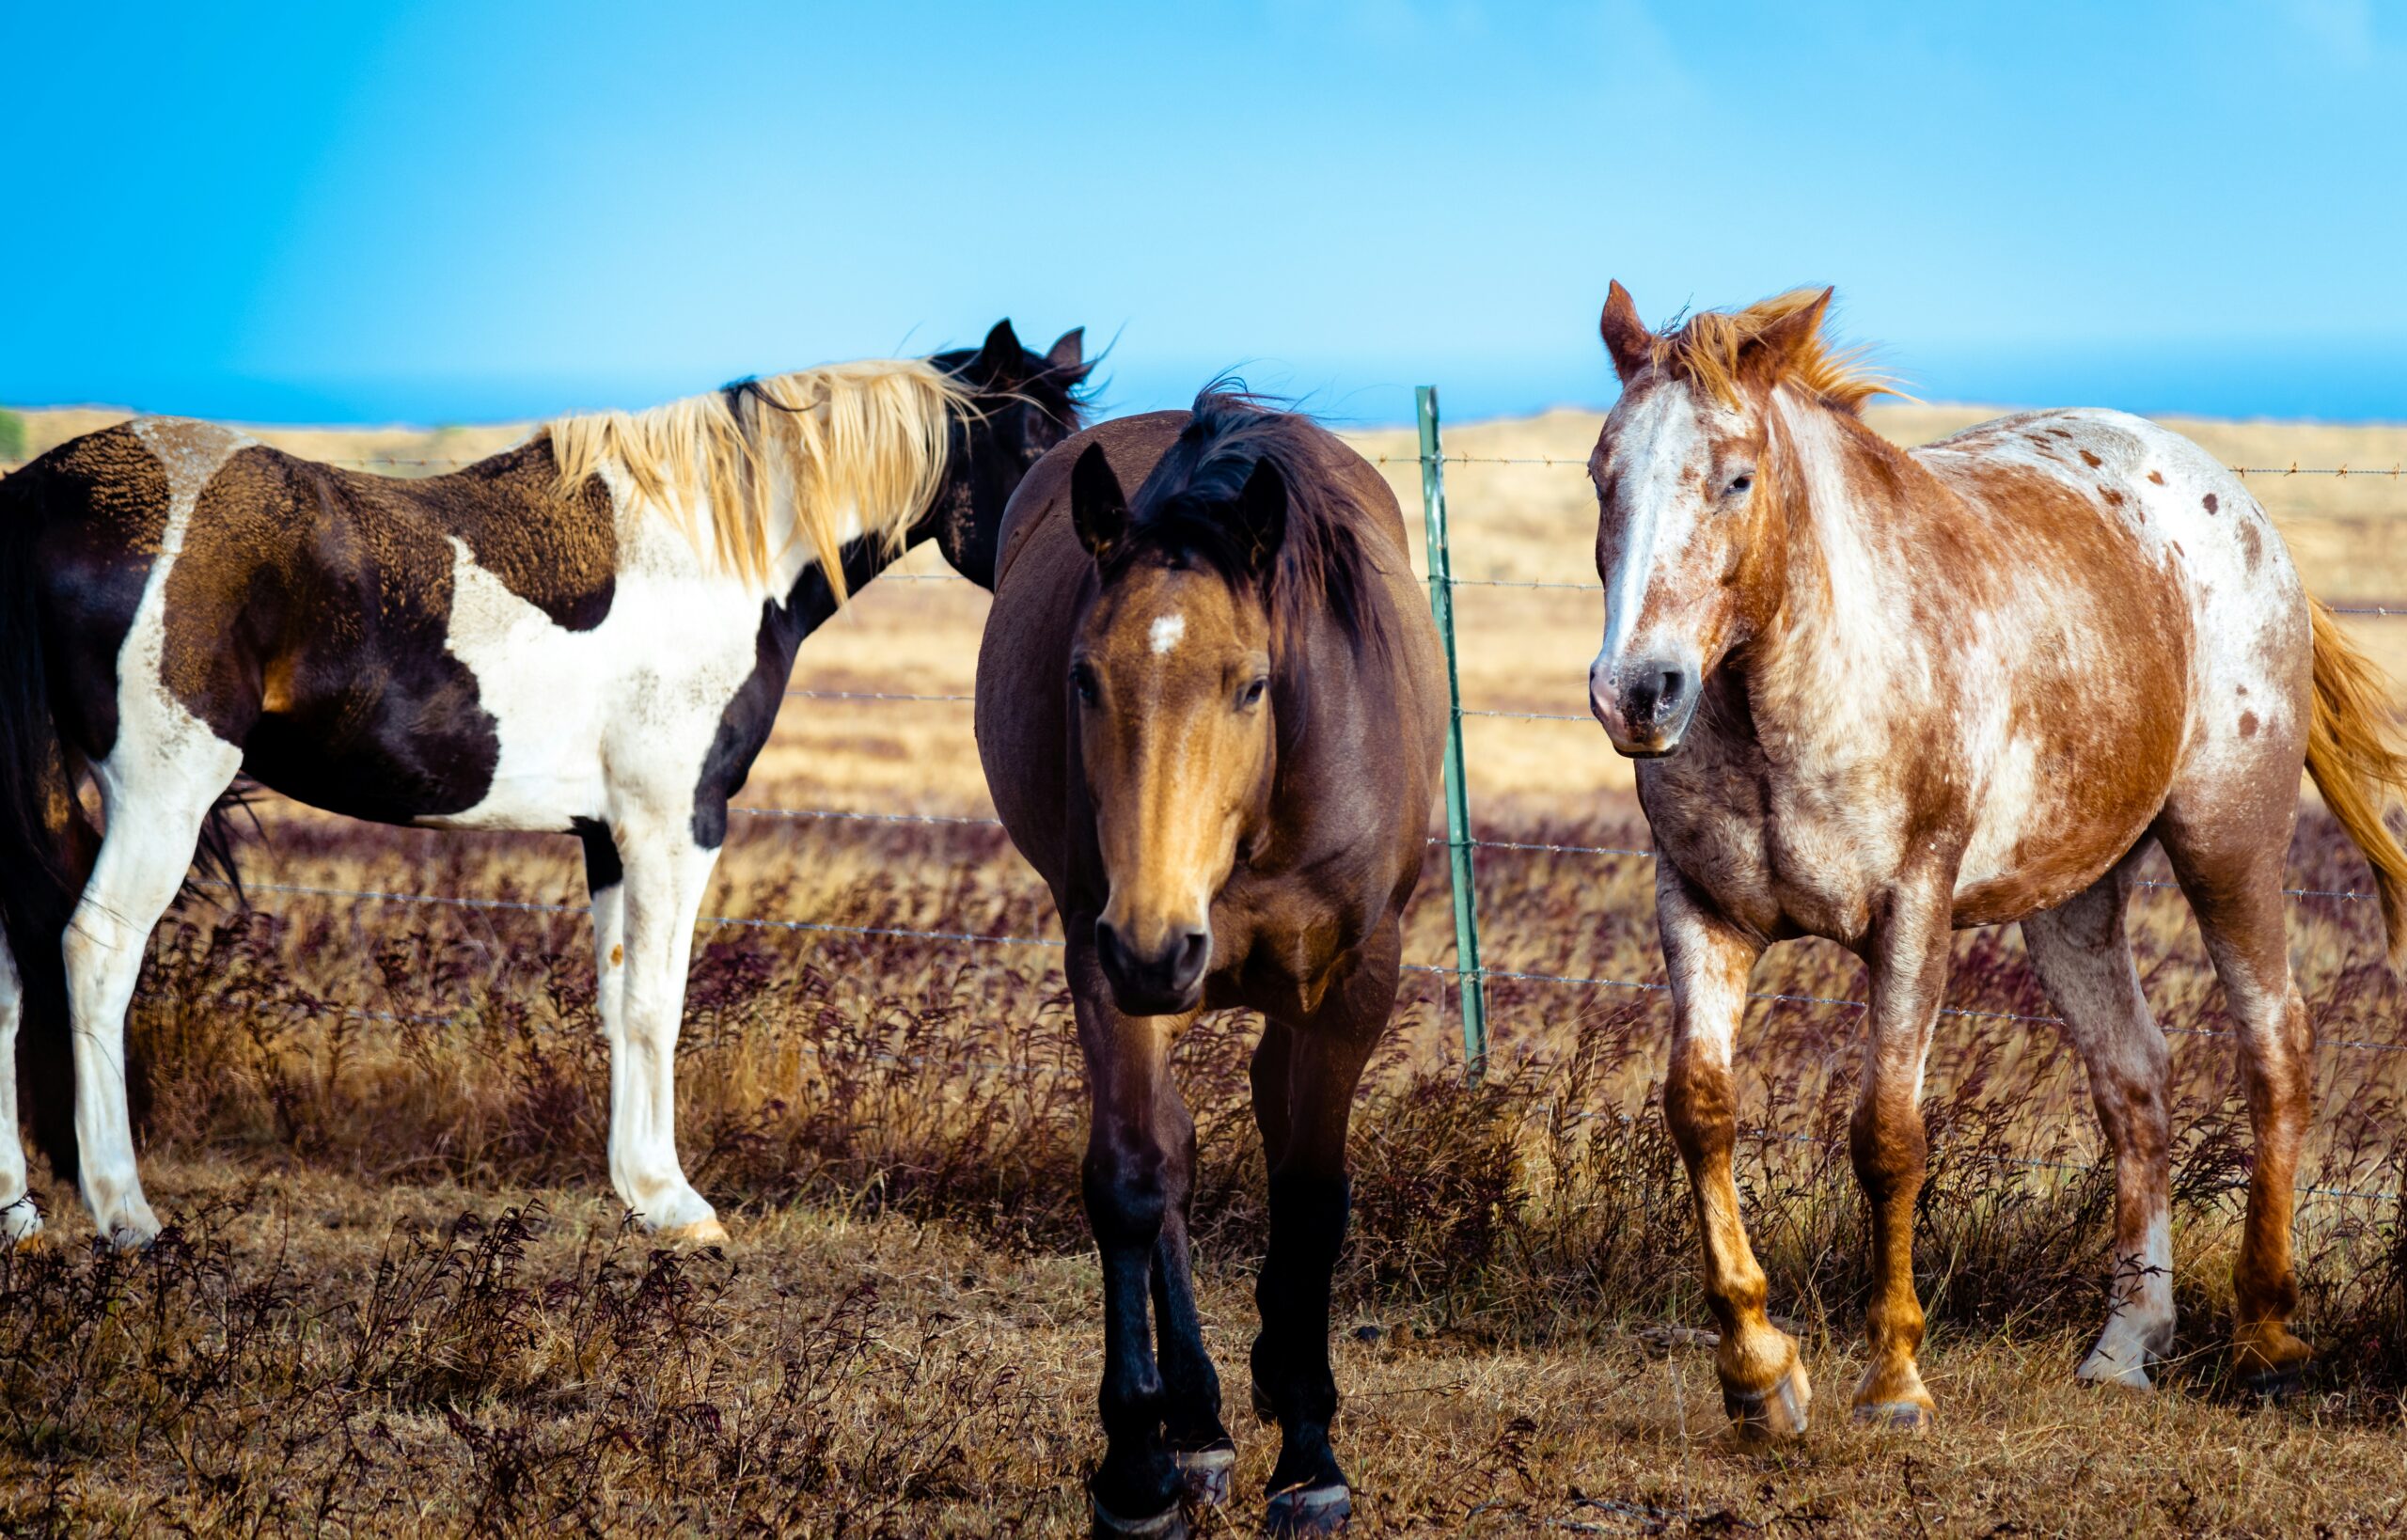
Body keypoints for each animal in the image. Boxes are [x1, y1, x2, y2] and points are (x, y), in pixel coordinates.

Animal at [0, 322, 1093, 1250]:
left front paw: (641, 1192)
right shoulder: (674, 824)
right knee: (94, 954)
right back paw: (126, 1213)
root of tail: (39, 495)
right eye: (1037, 439)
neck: (713, 550)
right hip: (162, 795)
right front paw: (680, 1207)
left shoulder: (607, 834)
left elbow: (617, 1000)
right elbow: (658, 1003)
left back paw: (19, 1215)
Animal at [977, 394, 1444, 1530]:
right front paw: (1137, 1468)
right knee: (1176, 1159)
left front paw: (1311, 1458)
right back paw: (1195, 1424)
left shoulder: (1354, 981)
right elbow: (1134, 1182)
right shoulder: (1104, 964)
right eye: (1083, 678)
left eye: (1252, 685)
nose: (1156, 943)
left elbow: (1311, 1192)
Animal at [1579, 282, 2407, 1434]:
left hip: (2227, 842)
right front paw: (1757, 1373)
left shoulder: (1911, 913)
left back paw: (2267, 1336)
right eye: (1601, 474)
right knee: (2133, 1078)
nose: (1636, 693)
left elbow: (1887, 1139)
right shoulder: (1701, 910)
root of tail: (2232, 507)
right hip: (2071, 901)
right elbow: (1699, 1113)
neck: (1788, 693)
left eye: (1736, 477)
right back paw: (2126, 1342)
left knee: (2275, 1045)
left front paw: (1893, 1383)